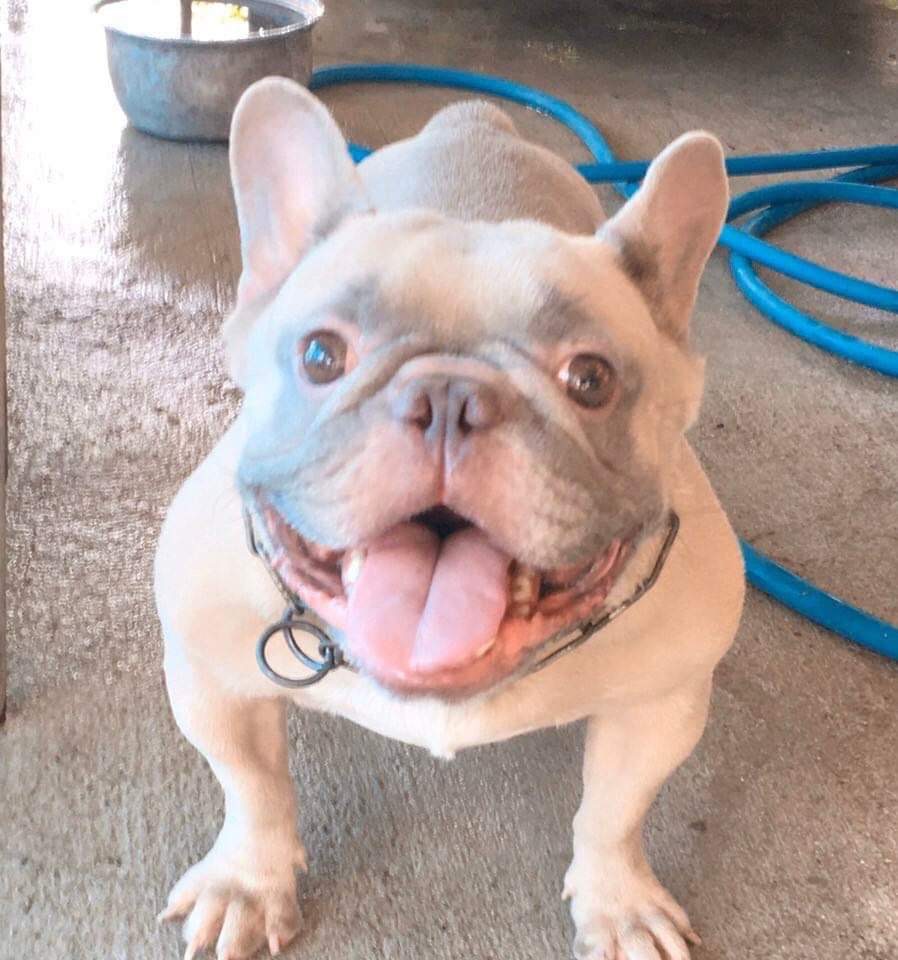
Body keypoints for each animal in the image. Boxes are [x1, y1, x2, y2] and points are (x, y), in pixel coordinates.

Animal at [154, 76, 744, 960]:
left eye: (591, 378)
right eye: (321, 356)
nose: (449, 398)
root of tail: (473, 119)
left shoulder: (660, 706)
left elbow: (614, 811)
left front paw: (618, 903)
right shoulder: (212, 682)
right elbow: (253, 786)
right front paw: (248, 883)